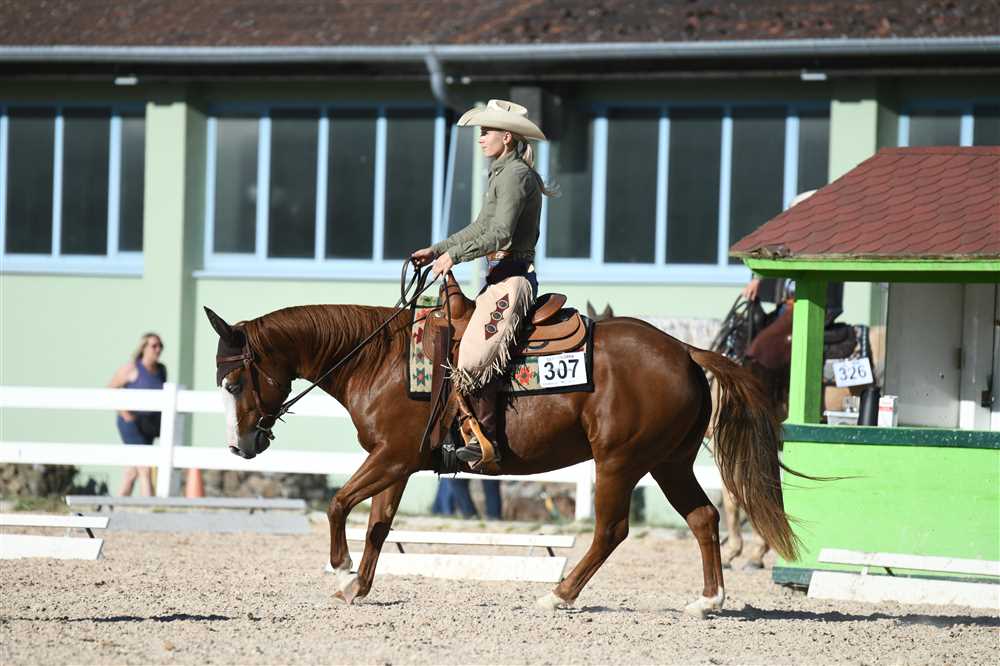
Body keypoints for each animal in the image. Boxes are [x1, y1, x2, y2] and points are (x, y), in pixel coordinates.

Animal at [204, 290, 799, 617]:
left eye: (233, 382)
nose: (240, 444)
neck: (379, 359)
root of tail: (686, 351)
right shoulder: (398, 464)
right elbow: (377, 524)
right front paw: (358, 585)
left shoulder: (390, 457)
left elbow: (338, 504)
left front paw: (340, 568)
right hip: (669, 461)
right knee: (703, 517)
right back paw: (708, 600)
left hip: (620, 462)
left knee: (611, 530)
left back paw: (559, 595)